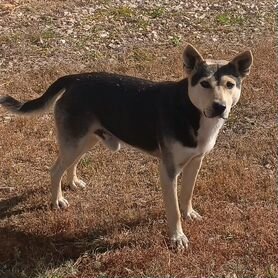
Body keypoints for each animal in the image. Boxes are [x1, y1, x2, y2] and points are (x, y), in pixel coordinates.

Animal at [0, 44, 252, 249]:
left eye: (230, 84)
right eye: (204, 84)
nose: (219, 107)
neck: (191, 110)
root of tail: (76, 78)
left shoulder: (196, 161)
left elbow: (187, 193)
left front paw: (189, 213)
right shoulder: (168, 170)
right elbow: (173, 211)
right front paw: (177, 238)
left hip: (86, 138)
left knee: (70, 163)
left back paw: (72, 182)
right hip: (75, 141)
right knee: (55, 170)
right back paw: (57, 200)